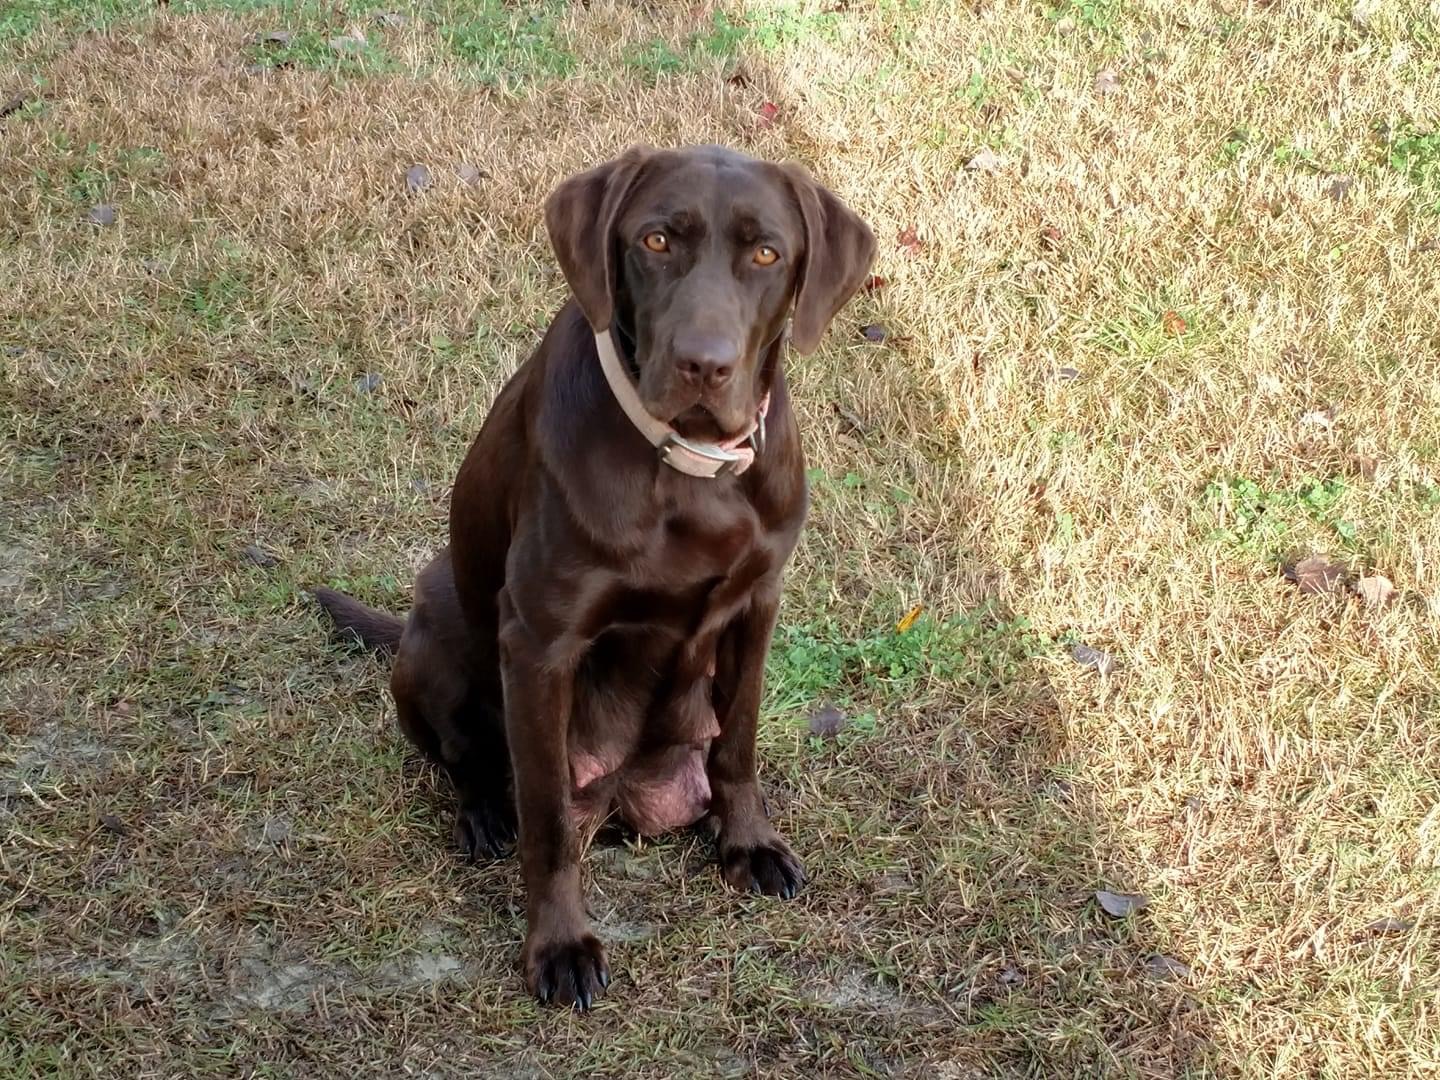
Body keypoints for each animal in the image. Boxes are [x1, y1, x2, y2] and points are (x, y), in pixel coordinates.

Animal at [316, 144, 875, 1008]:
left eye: (766, 254)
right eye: (656, 241)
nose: (704, 365)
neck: (690, 469)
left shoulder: (757, 605)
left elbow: (740, 745)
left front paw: (748, 841)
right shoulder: (540, 643)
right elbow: (546, 821)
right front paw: (559, 945)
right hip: (432, 636)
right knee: (470, 760)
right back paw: (483, 816)